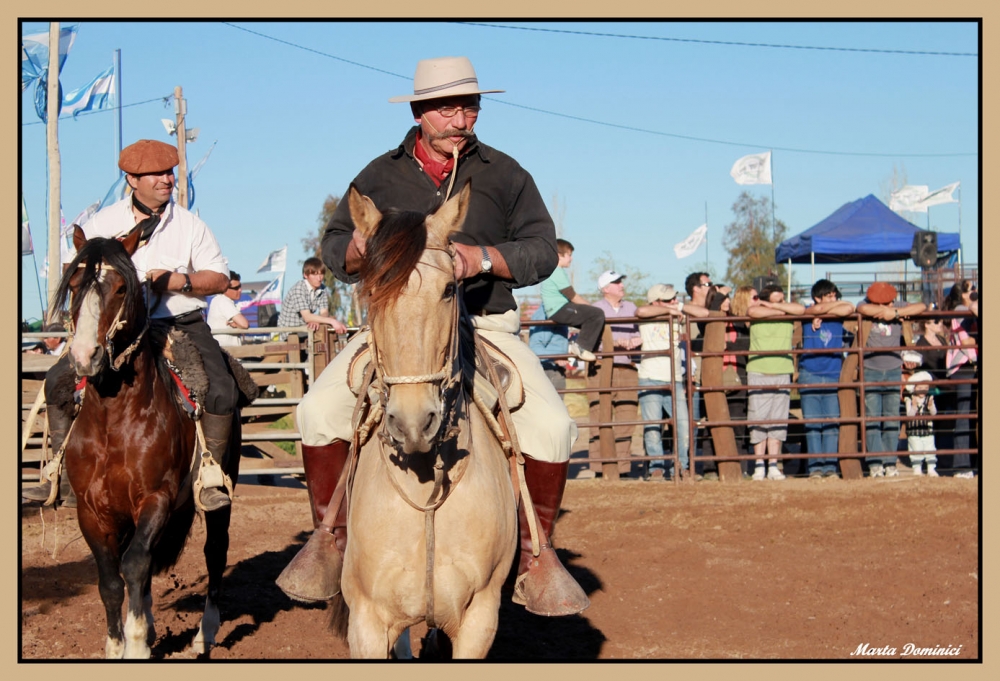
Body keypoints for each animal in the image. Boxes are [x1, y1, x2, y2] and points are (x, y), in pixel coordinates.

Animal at [53, 227, 242, 660]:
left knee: (214, 553)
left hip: (218, 494)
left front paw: (136, 644)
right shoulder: (92, 510)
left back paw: (204, 634)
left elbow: (135, 563)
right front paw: (116, 644)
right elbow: (110, 579)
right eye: (73, 285)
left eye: (122, 288)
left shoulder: (155, 498)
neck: (114, 420)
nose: (84, 356)